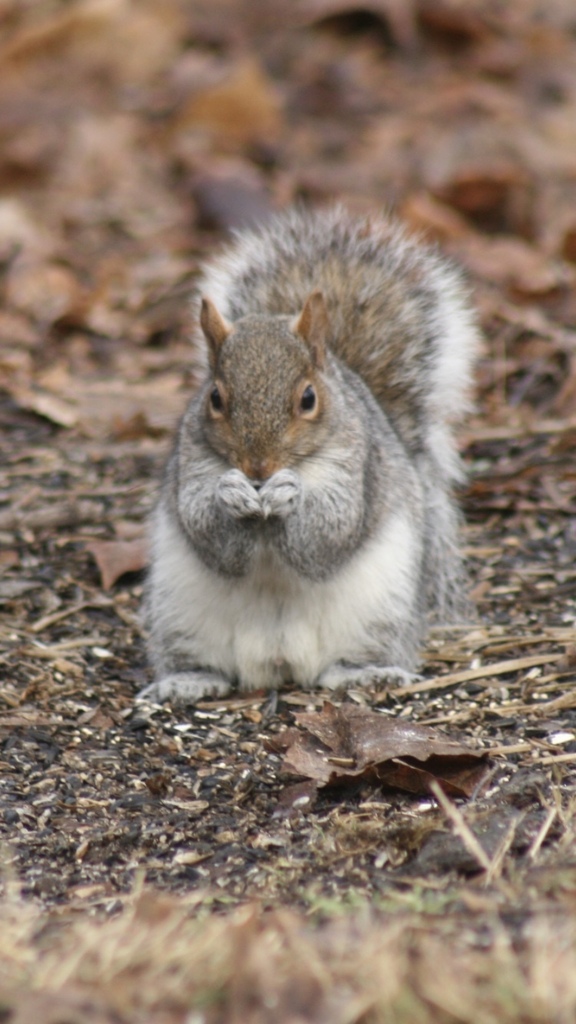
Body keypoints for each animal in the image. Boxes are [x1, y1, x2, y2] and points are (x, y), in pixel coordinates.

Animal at [138, 205, 475, 704]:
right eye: (215, 398)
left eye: (308, 398)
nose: (258, 469)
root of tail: (278, 663)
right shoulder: (191, 462)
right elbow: (206, 529)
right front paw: (229, 493)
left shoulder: (356, 467)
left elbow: (331, 531)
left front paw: (290, 492)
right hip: (177, 612)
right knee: (201, 662)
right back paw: (186, 681)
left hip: (382, 609)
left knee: (354, 657)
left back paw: (367, 674)